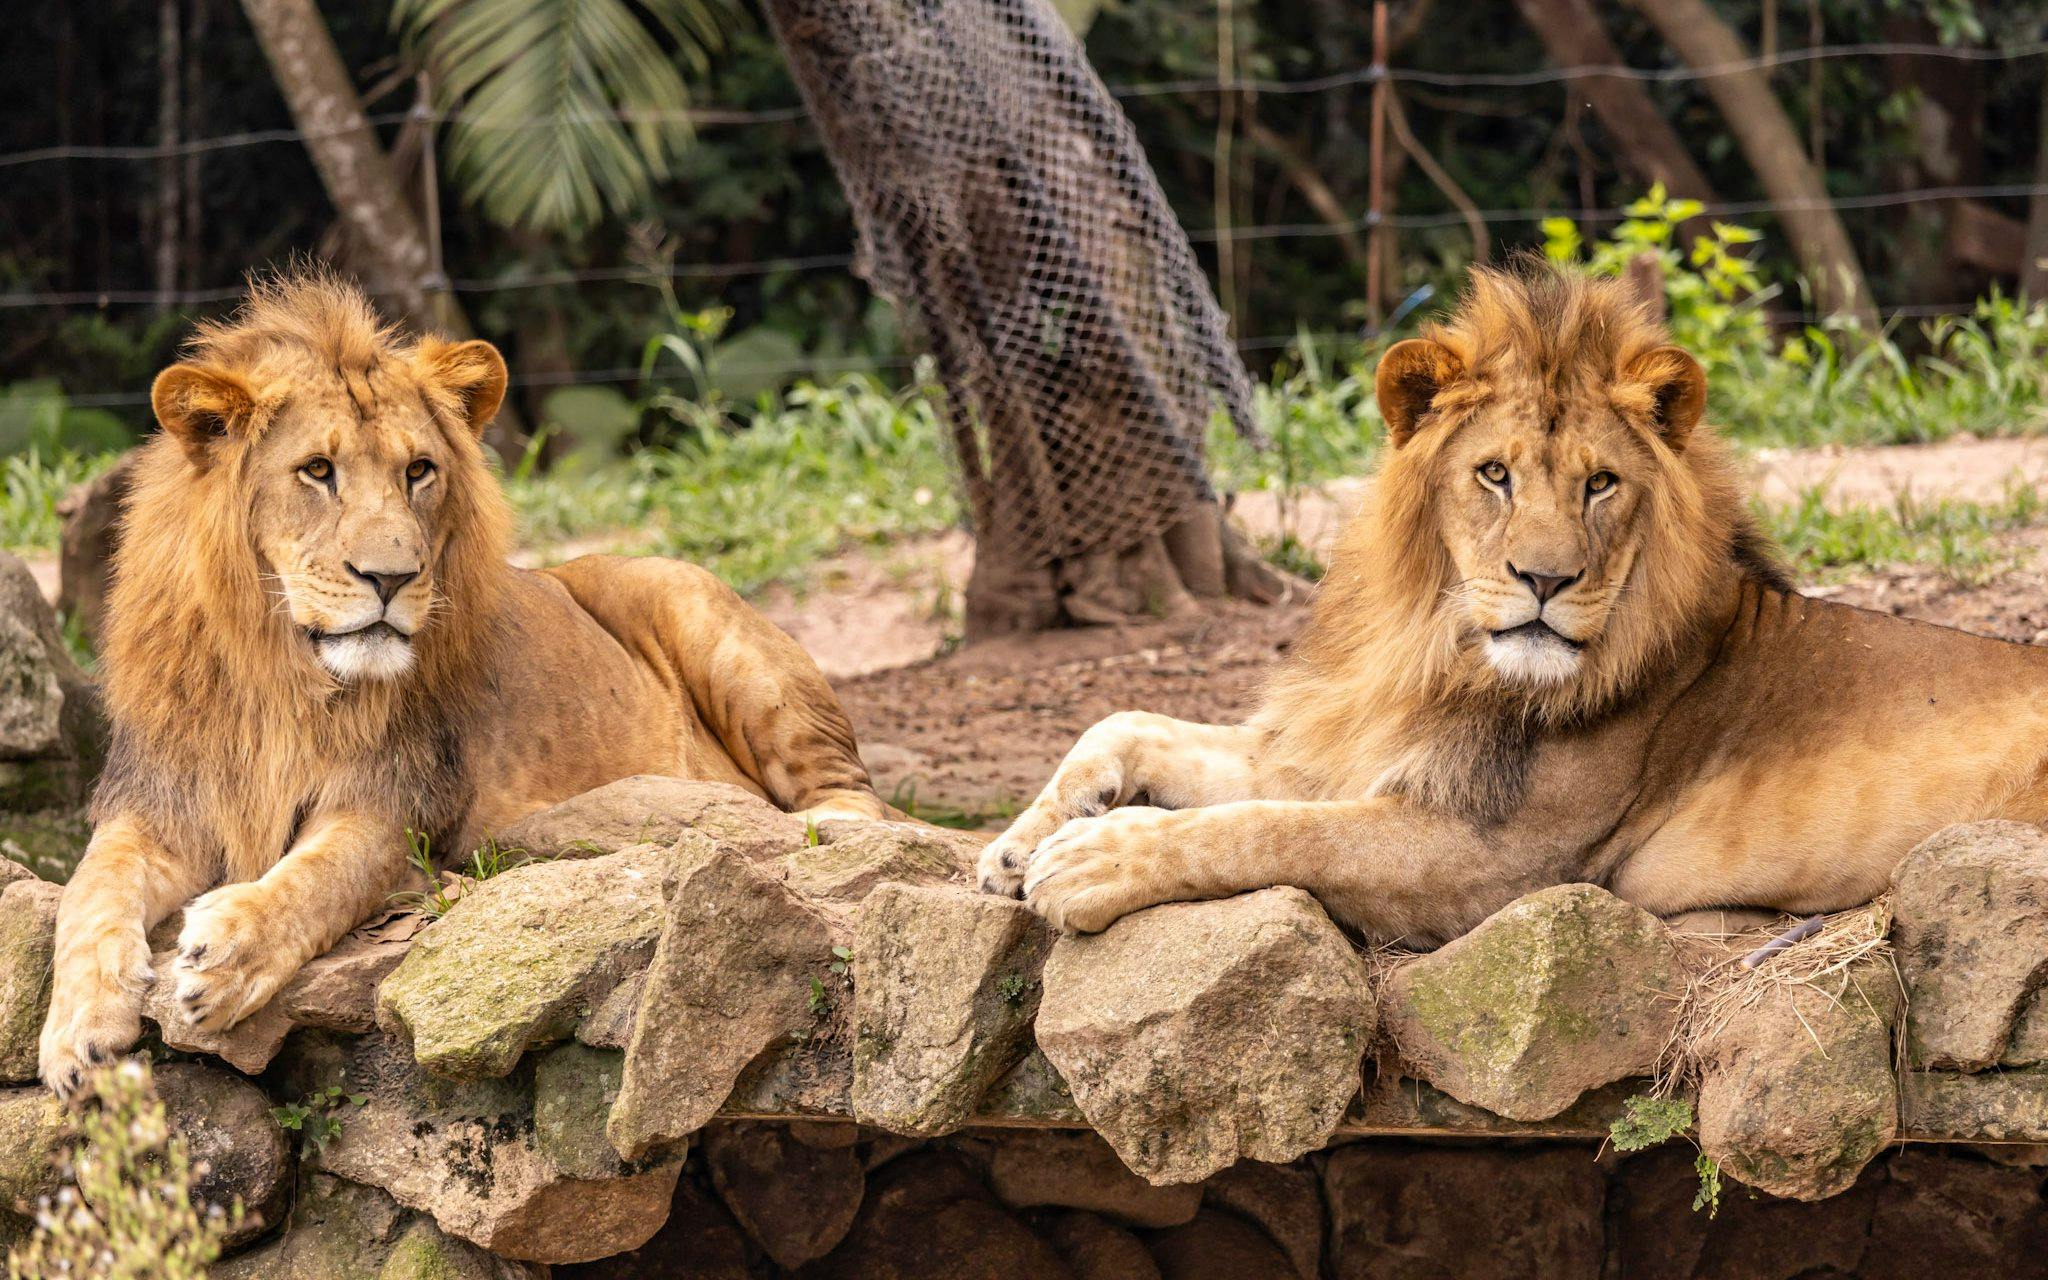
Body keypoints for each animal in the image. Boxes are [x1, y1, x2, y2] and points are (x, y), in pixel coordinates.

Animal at [40, 271, 890, 1096]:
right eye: (317, 471)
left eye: (419, 471)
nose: (392, 577)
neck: (278, 675)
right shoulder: (157, 801)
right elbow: (87, 892)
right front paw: (74, 1033)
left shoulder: (403, 804)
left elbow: (317, 879)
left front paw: (227, 954)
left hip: (706, 619)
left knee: (858, 799)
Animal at [979, 263, 2048, 943]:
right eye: (1494, 474)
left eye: (1600, 485)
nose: (1544, 580)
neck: (1438, 652)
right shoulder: (1347, 749)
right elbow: (1130, 721)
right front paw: (1016, 844)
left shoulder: (1497, 862)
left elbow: (1267, 830)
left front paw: (1088, 859)